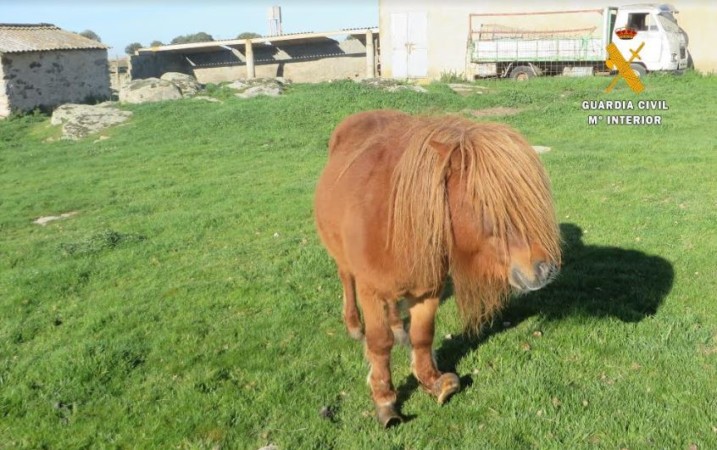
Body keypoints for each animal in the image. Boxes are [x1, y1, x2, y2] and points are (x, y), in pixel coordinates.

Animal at [314, 110, 561, 427]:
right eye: (488, 203)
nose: (545, 269)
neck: (397, 224)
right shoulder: (371, 292)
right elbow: (379, 344)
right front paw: (385, 401)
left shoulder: (428, 291)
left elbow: (422, 336)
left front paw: (433, 381)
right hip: (343, 261)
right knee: (346, 280)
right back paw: (354, 326)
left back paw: (399, 328)